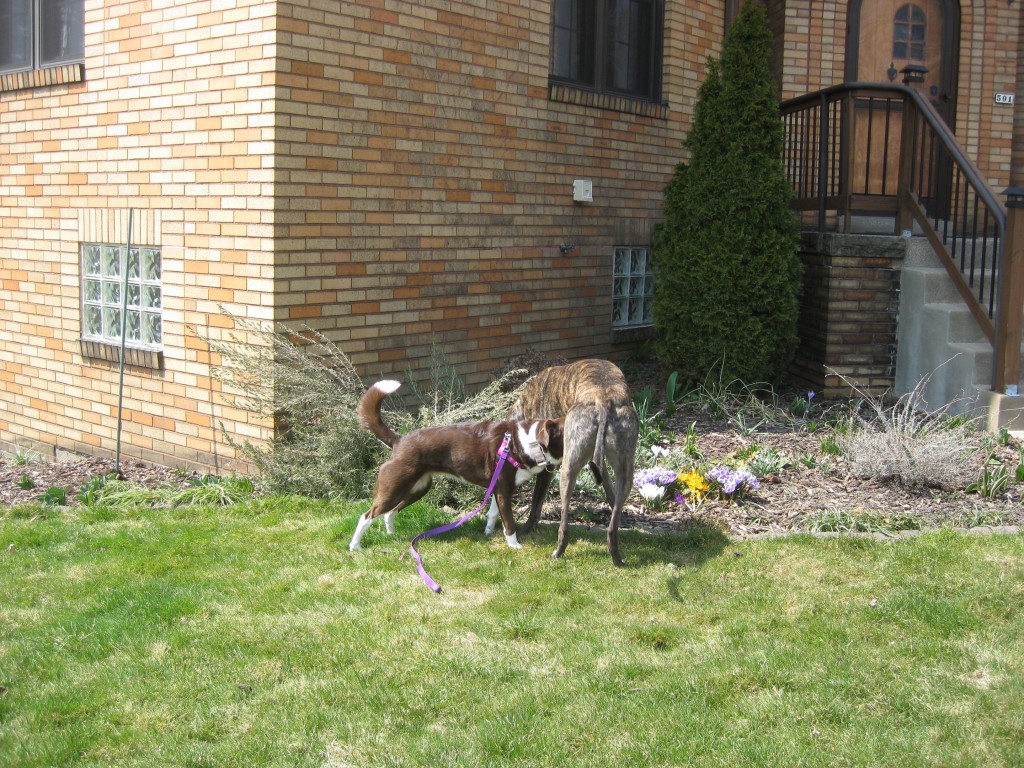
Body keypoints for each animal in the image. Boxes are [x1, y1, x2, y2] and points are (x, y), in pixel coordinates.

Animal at [350, 380, 561, 552]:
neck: (525, 442)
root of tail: (399, 440)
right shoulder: (504, 490)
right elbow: (508, 521)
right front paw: (514, 544)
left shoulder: (498, 488)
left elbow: (493, 514)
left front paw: (488, 533)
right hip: (394, 486)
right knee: (367, 515)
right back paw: (355, 546)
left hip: (418, 487)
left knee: (390, 512)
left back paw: (391, 534)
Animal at [507, 360, 634, 565]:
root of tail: (603, 399)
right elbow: (608, 486)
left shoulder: (548, 468)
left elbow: (536, 501)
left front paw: (526, 528)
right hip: (625, 467)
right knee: (611, 528)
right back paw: (616, 556)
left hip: (567, 470)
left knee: (564, 525)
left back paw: (558, 552)